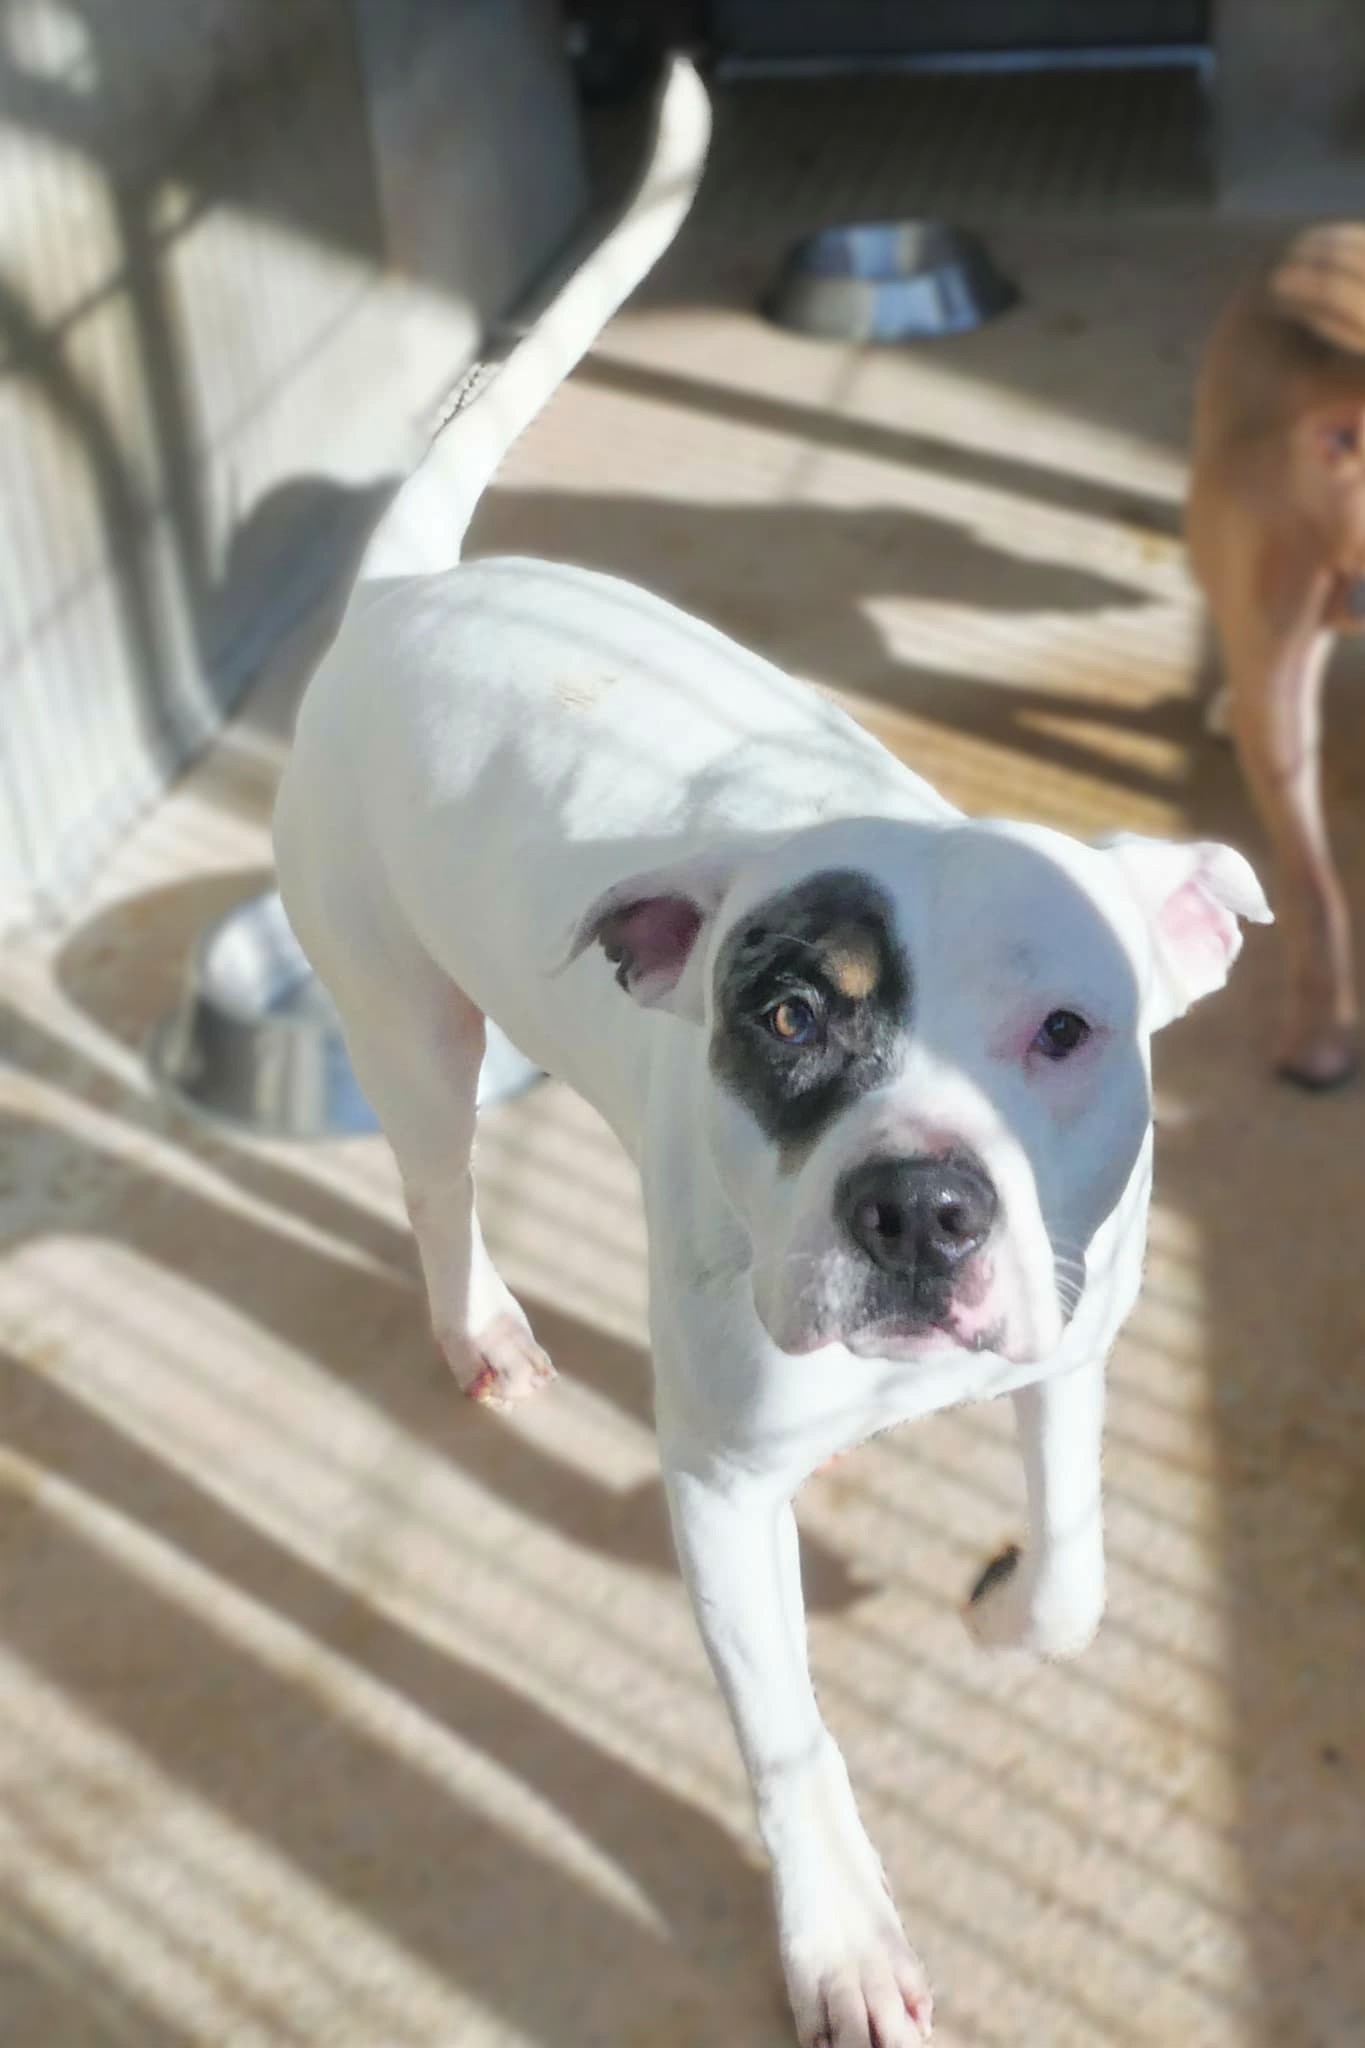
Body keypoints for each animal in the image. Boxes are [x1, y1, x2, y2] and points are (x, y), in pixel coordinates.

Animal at [275, 59, 1269, 2048]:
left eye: (1068, 1029)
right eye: (792, 1013)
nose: (920, 1214)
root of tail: (407, 596)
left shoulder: (1077, 1340)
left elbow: (1079, 1565)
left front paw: (1000, 1604)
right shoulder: (725, 1494)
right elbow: (791, 1735)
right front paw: (839, 1942)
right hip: (405, 1018)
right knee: (435, 1183)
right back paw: (481, 1326)